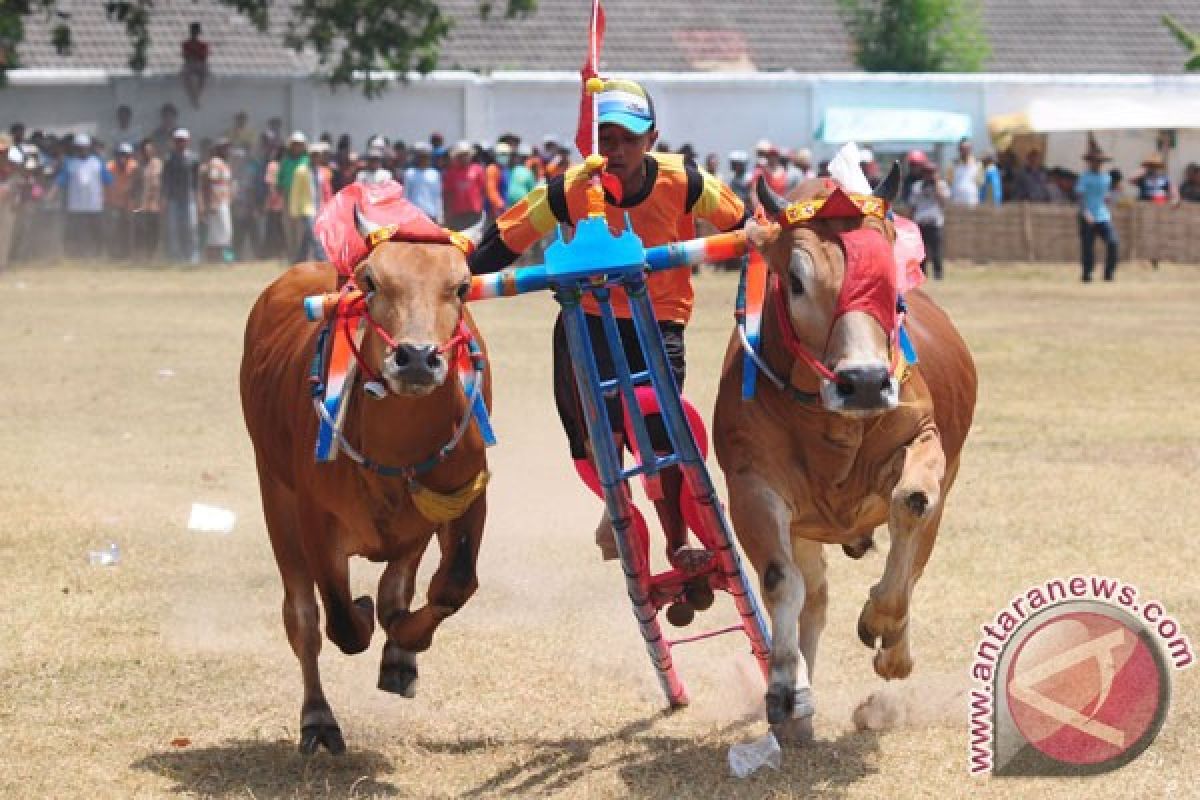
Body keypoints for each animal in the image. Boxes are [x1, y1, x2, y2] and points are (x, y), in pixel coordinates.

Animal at [238, 211, 487, 753]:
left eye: (460, 286)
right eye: (371, 281)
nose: (416, 357)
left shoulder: (466, 495)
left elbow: (451, 587)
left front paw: (406, 646)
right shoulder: (312, 518)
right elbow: (341, 620)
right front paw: (363, 611)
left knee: (399, 586)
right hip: (274, 495)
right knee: (303, 619)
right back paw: (318, 717)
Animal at [710, 172, 974, 748]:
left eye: (888, 275)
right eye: (796, 278)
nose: (867, 382)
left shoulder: (923, 444)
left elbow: (911, 504)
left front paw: (881, 626)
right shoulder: (752, 485)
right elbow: (781, 581)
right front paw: (785, 689)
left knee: (912, 560)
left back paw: (893, 649)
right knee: (814, 597)